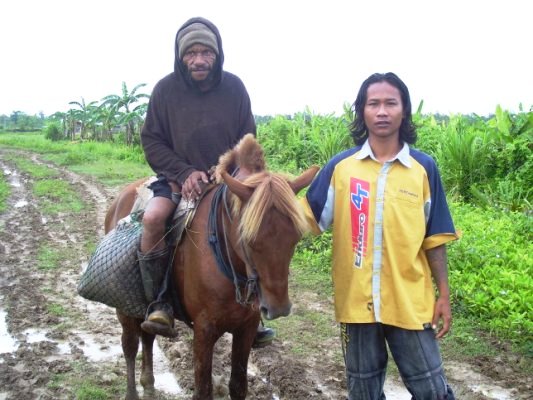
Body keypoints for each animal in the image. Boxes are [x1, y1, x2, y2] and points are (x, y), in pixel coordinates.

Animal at [106, 135, 318, 400]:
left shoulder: (246, 329)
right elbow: (203, 390)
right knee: (130, 344)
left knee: (148, 336)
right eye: (247, 238)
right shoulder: (204, 331)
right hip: (125, 307)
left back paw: (149, 384)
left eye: (296, 237)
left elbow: (238, 386)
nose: (278, 308)